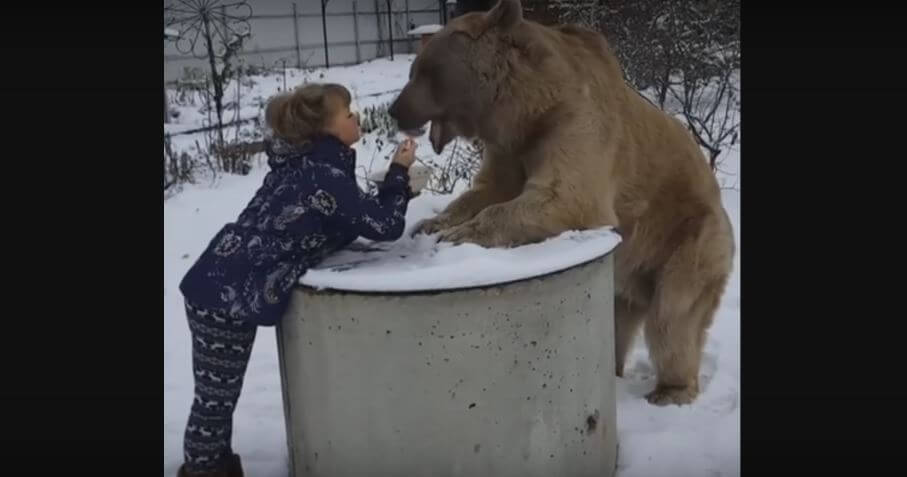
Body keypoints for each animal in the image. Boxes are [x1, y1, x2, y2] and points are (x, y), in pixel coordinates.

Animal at [390, 0, 736, 406]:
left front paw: (456, 236)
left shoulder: (575, 124)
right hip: (626, 274)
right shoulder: (511, 150)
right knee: (617, 320)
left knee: (673, 316)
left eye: (423, 69)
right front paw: (431, 224)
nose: (395, 110)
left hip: (687, 239)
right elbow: (488, 190)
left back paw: (670, 391)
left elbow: (564, 197)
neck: (526, 108)